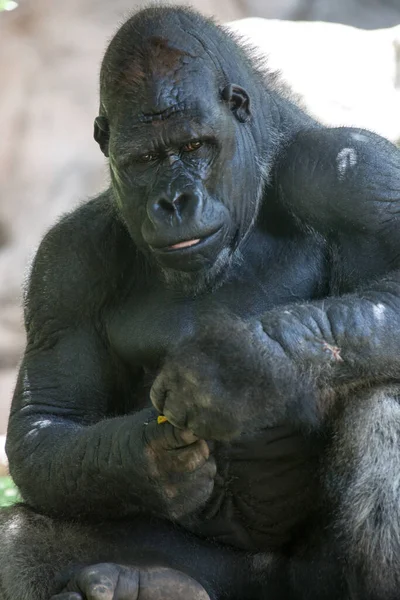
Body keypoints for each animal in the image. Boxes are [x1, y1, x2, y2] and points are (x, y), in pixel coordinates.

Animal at [0, 7, 400, 600]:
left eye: (194, 147)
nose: (174, 202)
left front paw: (235, 369)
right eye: (144, 159)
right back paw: (150, 582)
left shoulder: (352, 171)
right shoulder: (65, 267)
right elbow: (47, 422)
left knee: (383, 399)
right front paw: (149, 459)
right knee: (18, 541)